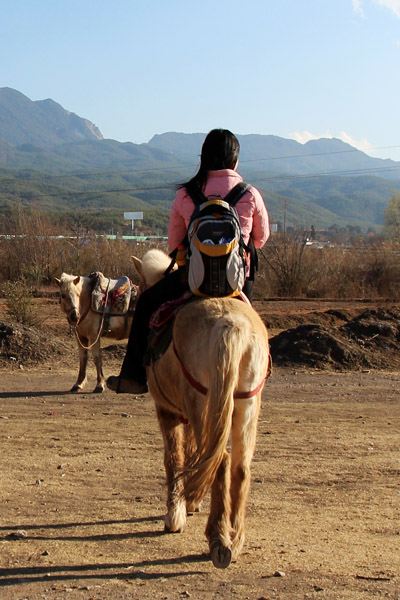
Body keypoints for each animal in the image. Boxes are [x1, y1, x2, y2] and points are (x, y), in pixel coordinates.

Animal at [133, 248, 270, 568]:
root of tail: (230, 324)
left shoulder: (168, 411)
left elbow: (175, 458)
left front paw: (175, 514)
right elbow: (195, 453)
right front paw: (191, 501)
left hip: (204, 406)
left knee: (220, 460)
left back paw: (218, 539)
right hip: (244, 405)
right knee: (239, 466)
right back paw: (235, 538)